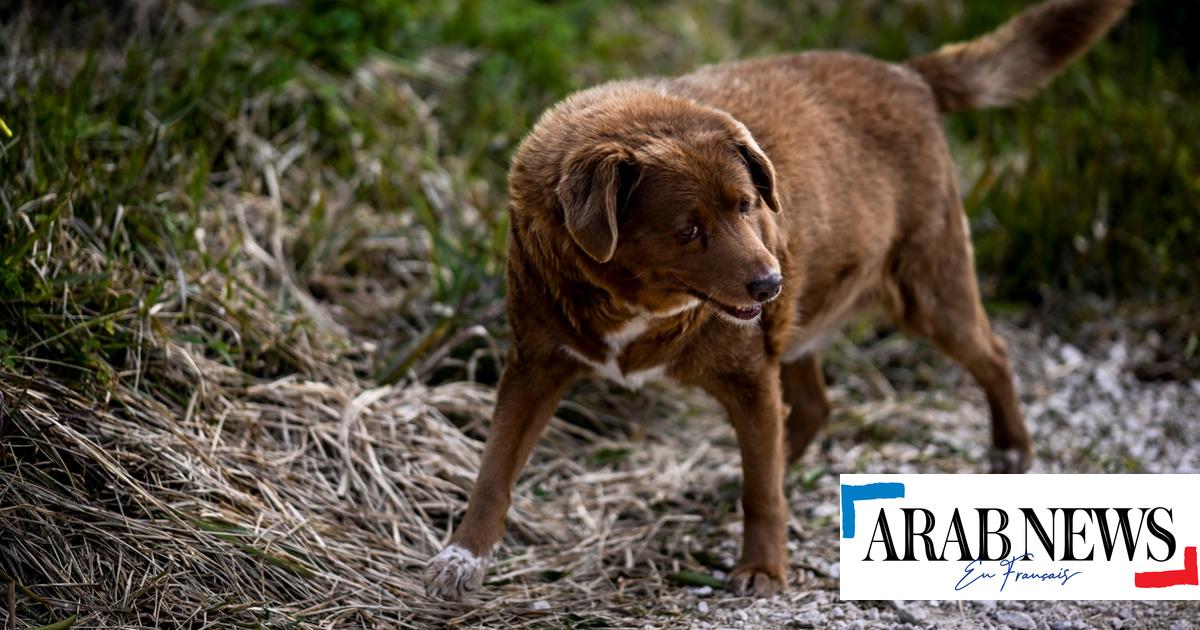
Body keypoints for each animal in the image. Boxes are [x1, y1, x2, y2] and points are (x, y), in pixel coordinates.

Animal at [427, 0, 1128, 600]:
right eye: (688, 229)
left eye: (746, 205)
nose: (769, 284)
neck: (635, 306)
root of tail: (907, 75)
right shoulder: (535, 363)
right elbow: (494, 468)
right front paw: (462, 557)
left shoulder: (747, 373)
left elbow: (762, 492)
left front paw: (763, 568)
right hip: (804, 321)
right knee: (811, 408)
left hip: (928, 289)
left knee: (992, 354)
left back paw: (1011, 448)